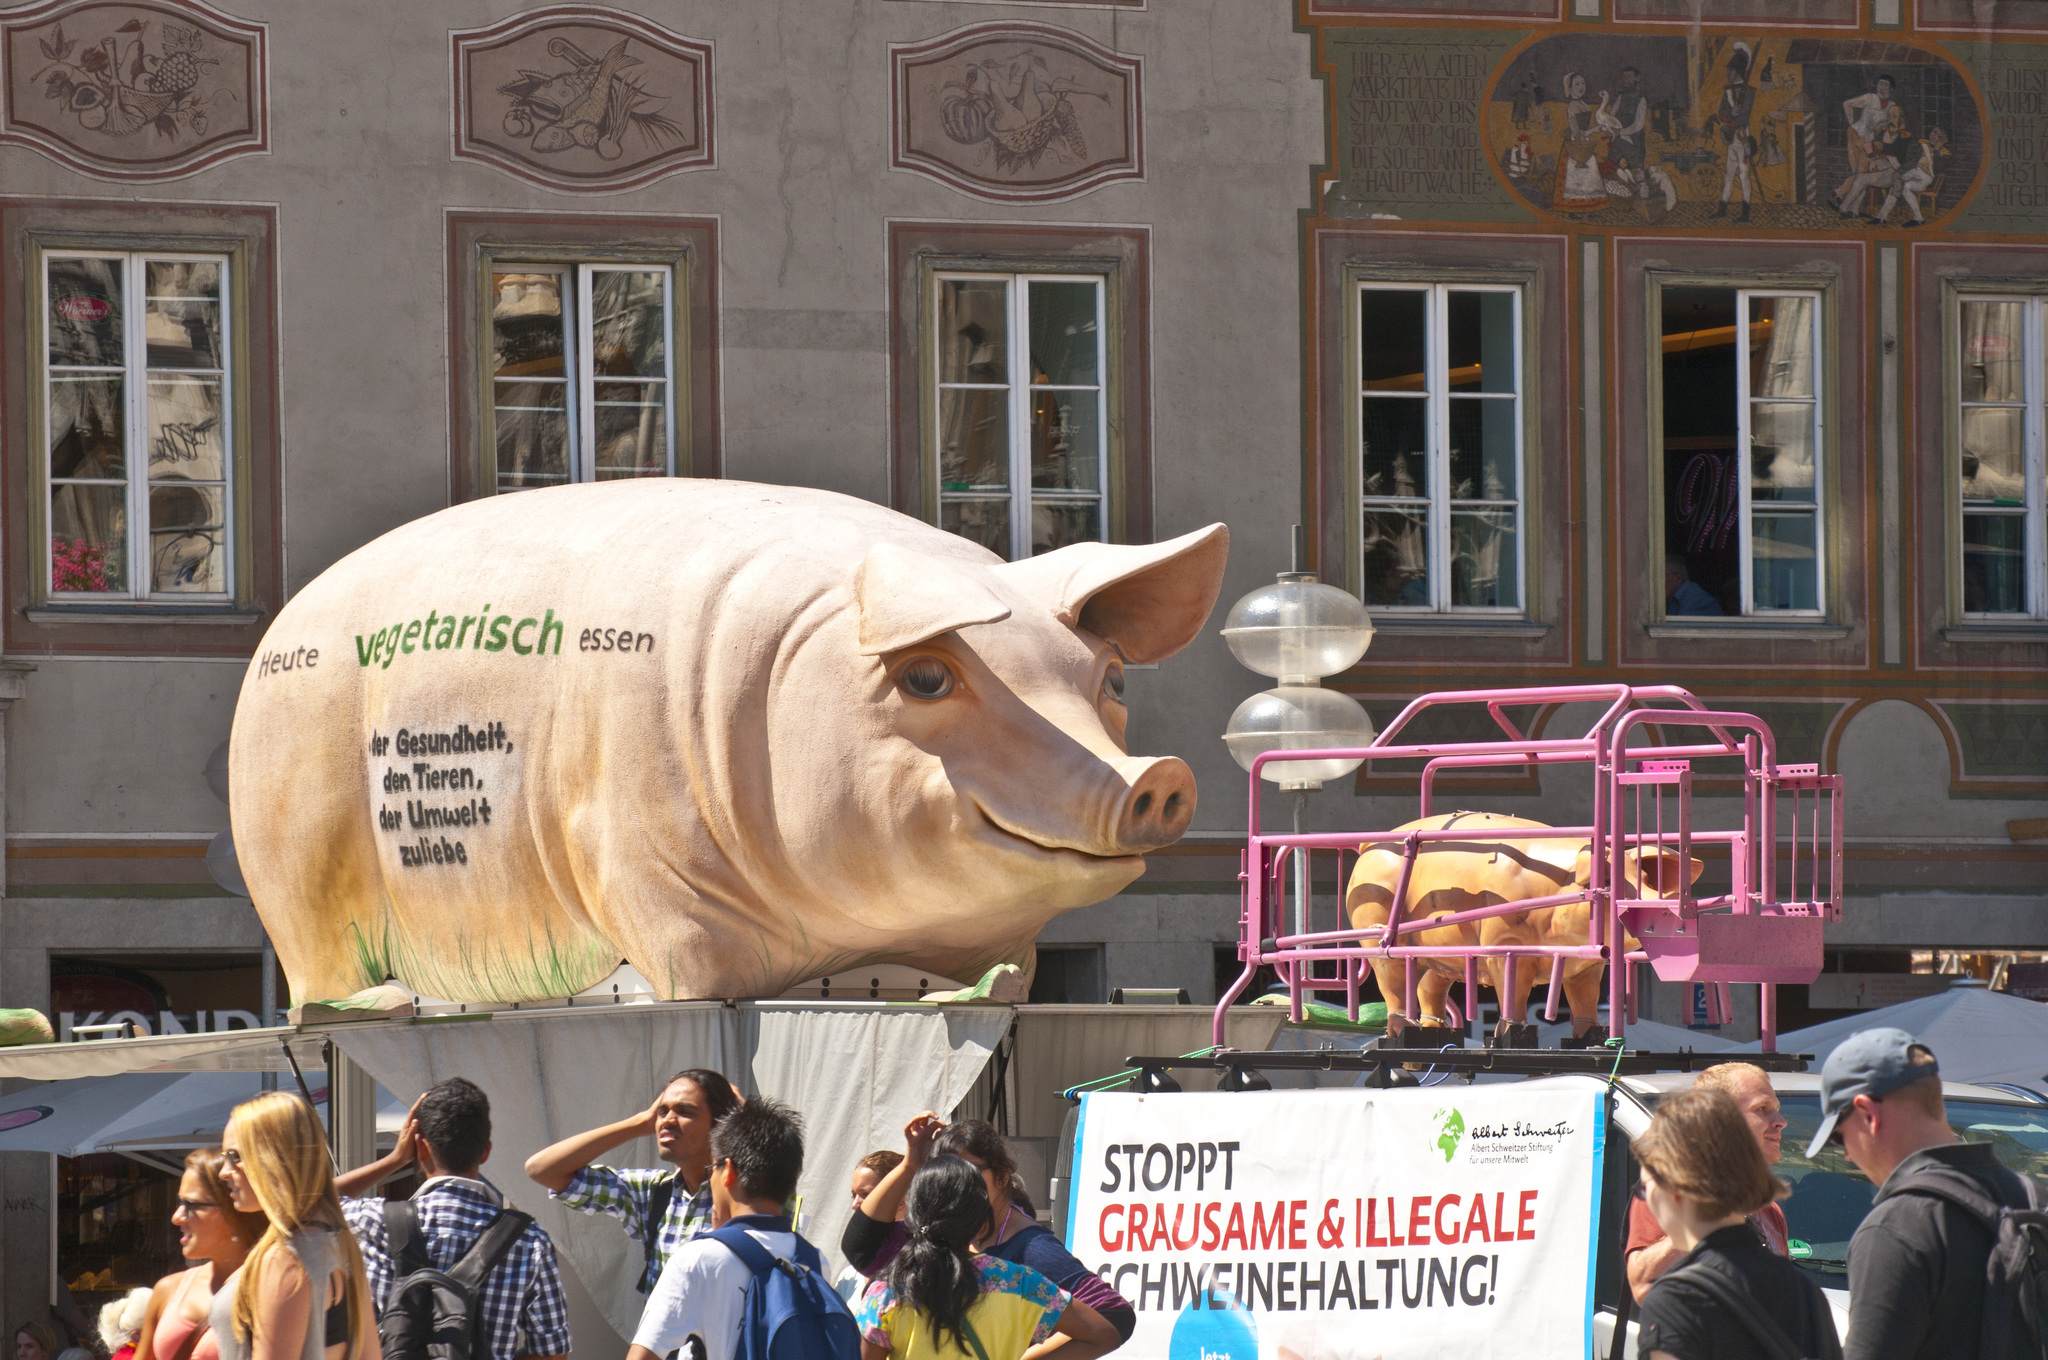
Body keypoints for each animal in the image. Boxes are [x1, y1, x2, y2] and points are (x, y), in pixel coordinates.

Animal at [232, 483, 1220, 1003]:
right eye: (927, 678)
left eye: (1112, 678)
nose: (1157, 775)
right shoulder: (628, 849)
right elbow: (697, 966)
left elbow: (1003, 977)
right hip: (294, 858)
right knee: (321, 969)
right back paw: (383, 999)